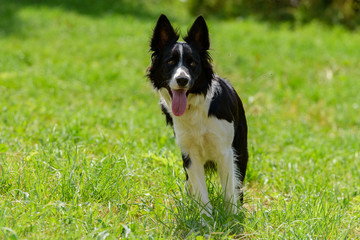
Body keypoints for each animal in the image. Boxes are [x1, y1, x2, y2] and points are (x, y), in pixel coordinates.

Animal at [147, 14, 248, 215]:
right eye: (170, 62)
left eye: (192, 63)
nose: (182, 79)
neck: (194, 109)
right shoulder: (189, 154)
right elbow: (200, 191)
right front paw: (206, 218)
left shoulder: (225, 151)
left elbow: (229, 189)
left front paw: (231, 217)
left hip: (241, 149)